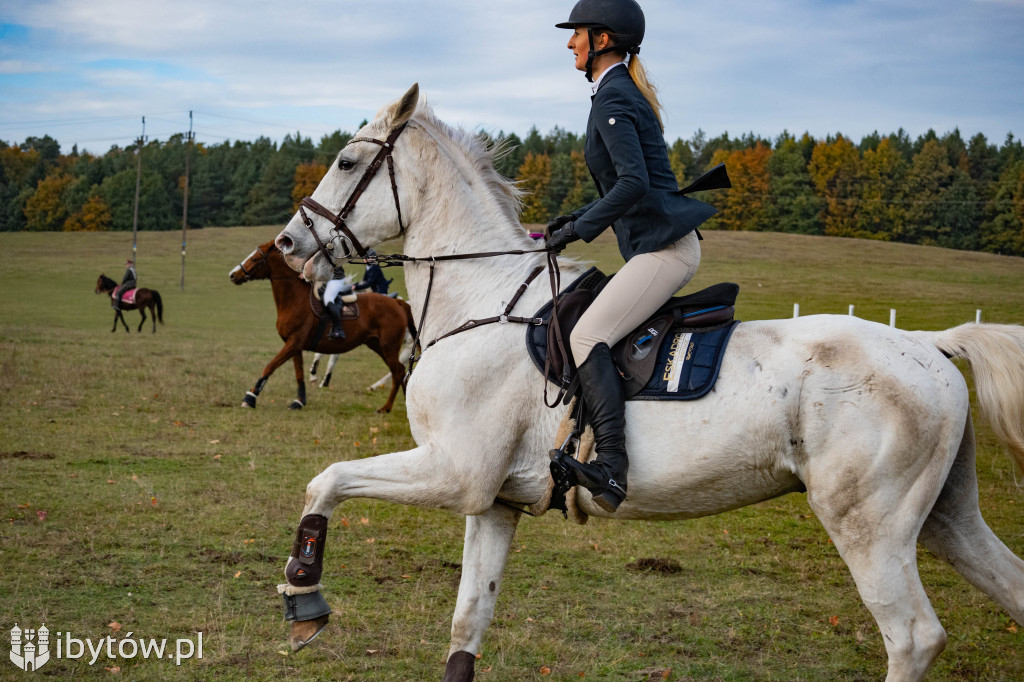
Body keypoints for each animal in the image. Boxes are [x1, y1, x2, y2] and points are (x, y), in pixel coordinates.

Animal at [230, 238, 413, 409]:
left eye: (254, 259)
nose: (233, 275)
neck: (294, 300)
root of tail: (397, 303)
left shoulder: (293, 344)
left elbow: (270, 366)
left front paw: (250, 397)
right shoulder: (295, 346)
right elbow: (299, 374)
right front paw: (299, 401)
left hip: (389, 346)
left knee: (398, 372)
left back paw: (387, 408)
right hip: (377, 345)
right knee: (399, 371)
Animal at [274, 84, 1024, 679]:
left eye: (346, 162)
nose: (288, 243)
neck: (479, 299)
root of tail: (928, 345)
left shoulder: (454, 472)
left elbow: (327, 479)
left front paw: (303, 594)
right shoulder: (492, 499)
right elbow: (466, 625)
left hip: (868, 524)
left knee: (913, 637)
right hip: (945, 518)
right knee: (1005, 585)